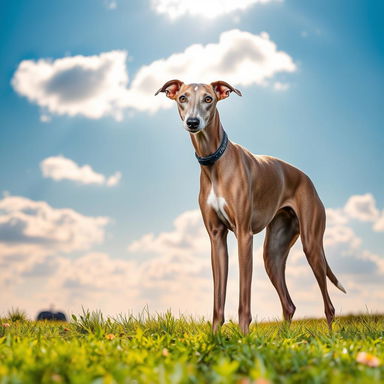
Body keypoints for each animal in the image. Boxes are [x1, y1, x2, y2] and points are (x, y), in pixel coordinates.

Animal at [154, 79, 346, 332]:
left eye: (208, 99)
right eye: (182, 98)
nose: (193, 122)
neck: (214, 162)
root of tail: (307, 179)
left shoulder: (244, 235)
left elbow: (244, 299)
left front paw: (243, 336)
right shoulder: (217, 238)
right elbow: (217, 300)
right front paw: (215, 336)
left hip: (312, 245)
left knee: (329, 306)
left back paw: (331, 336)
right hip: (272, 254)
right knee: (289, 305)